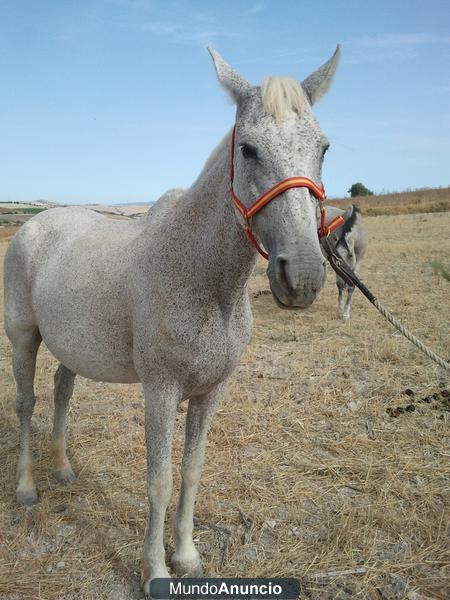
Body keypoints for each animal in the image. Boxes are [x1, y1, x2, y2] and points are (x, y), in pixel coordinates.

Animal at [3, 47, 340, 596]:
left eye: (324, 148)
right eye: (248, 149)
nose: (304, 276)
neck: (203, 279)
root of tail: (35, 224)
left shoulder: (211, 391)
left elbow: (192, 470)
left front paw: (186, 557)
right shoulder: (159, 390)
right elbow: (159, 480)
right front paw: (155, 571)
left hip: (70, 346)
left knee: (61, 393)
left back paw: (64, 470)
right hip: (23, 339)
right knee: (26, 403)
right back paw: (27, 488)